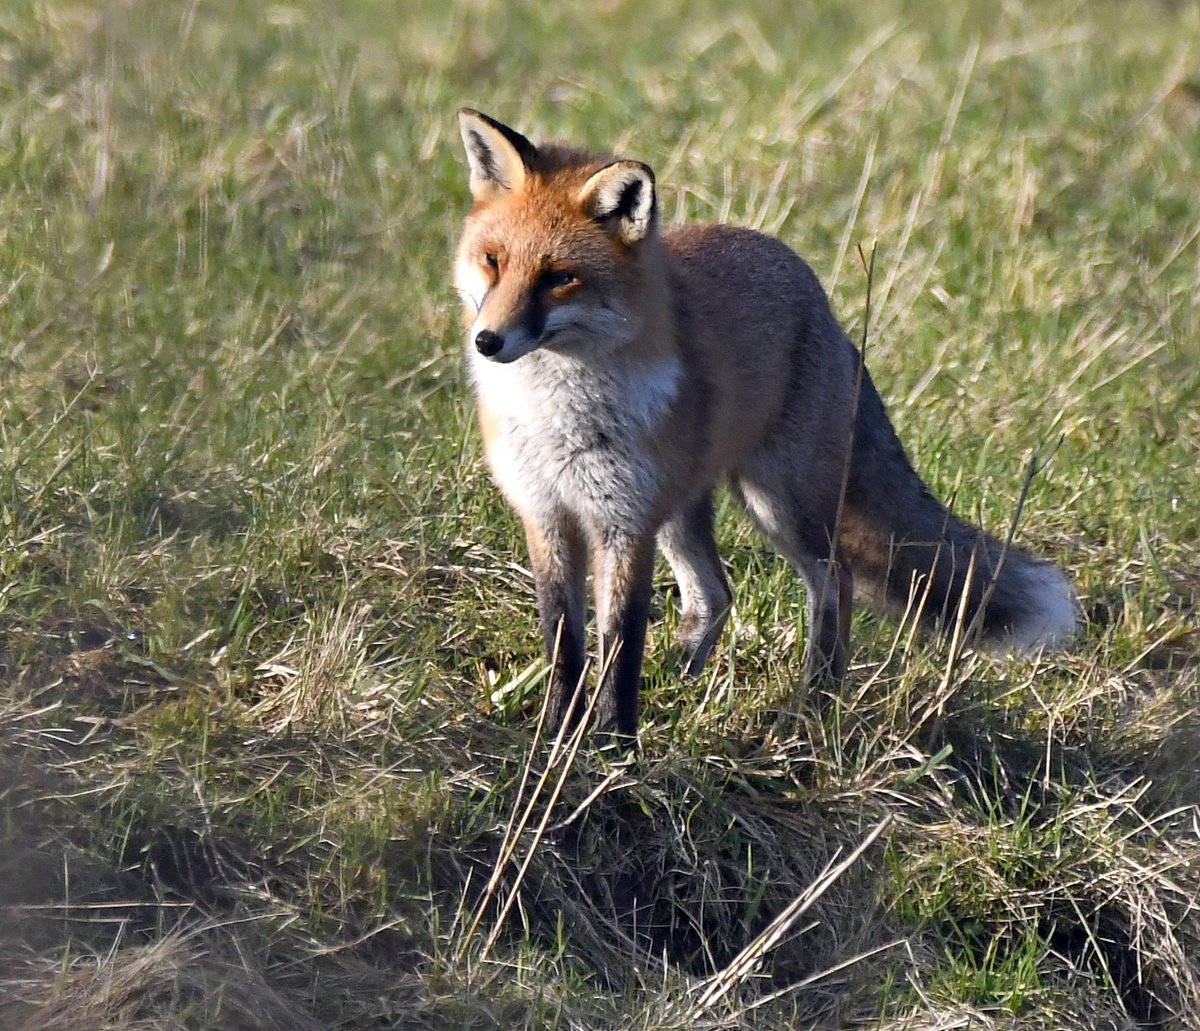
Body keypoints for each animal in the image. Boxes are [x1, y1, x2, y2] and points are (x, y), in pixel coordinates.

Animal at [452, 108, 1078, 740]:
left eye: (559, 277)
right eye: (493, 261)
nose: (488, 341)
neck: (558, 417)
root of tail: (821, 301)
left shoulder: (624, 521)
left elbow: (621, 642)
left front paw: (614, 741)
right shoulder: (546, 512)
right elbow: (562, 639)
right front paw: (556, 730)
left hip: (780, 505)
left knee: (835, 582)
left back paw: (815, 701)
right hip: (682, 508)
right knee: (714, 593)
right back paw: (680, 679)